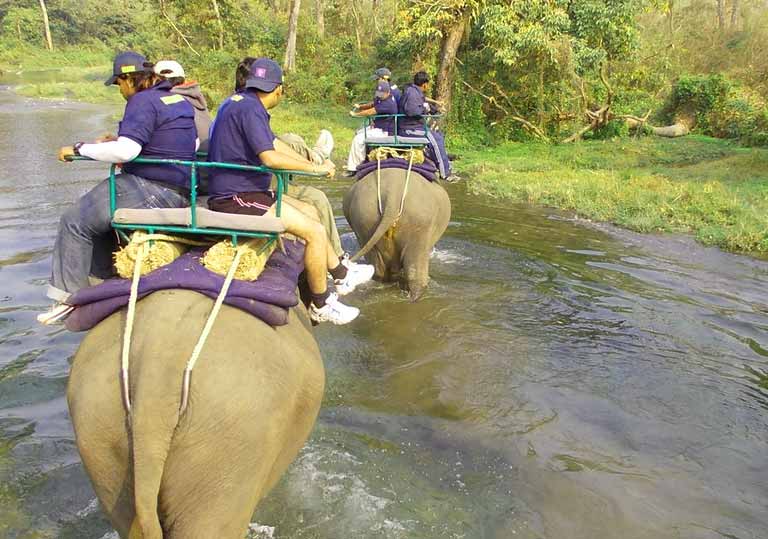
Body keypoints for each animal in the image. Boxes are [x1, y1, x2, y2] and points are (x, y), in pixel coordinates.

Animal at [343, 167, 451, 300]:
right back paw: (415, 297)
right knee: (415, 271)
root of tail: (392, 193)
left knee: (377, 267)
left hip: (363, 221)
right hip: (420, 225)